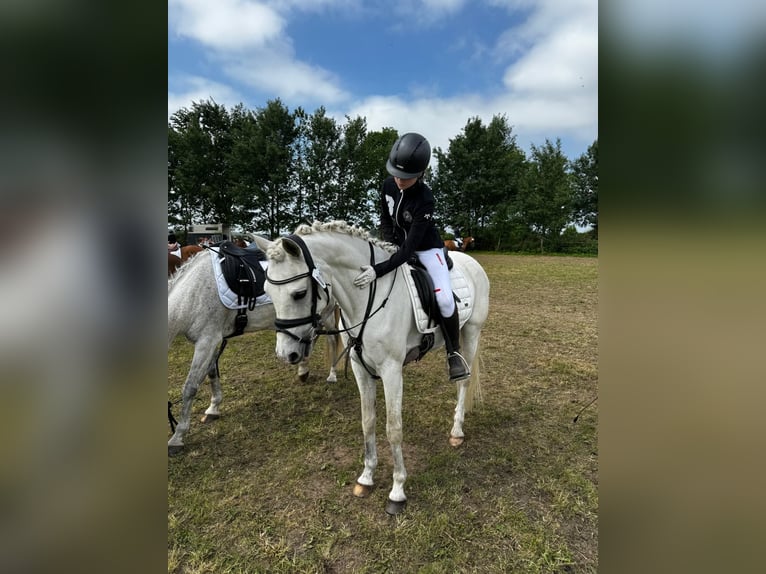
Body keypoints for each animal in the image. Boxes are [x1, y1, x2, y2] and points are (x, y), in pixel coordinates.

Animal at [170, 250, 340, 456]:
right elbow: (211, 373)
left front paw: (177, 437)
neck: (193, 294)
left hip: (326, 314)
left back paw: (332, 374)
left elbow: (190, 387)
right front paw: (213, 408)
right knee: (309, 340)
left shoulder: (207, 340)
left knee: (332, 339)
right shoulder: (209, 341)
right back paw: (302, 370)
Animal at [254, 222, 492, 516]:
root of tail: (472, 261)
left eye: (299, 293)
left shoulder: (391, 370)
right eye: (267, 290)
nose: (286, 354)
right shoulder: (360, 368)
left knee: (464, 382)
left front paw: (397, 490)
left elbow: (393, 428)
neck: (367, 297)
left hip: (471, 332)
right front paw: (366, 478)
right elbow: (367, 422)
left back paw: (457, 431)